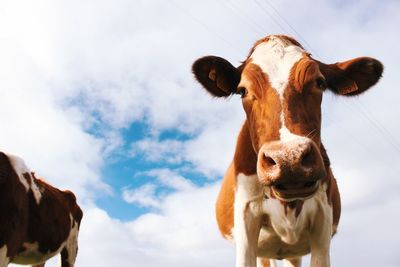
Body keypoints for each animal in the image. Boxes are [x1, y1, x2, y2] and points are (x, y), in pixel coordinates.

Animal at [193, 34, 384, 266]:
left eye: (319, 82)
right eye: (242, 90)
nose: (289, 159)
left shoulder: (323, 220)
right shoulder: (246, 215)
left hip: (294, 251)